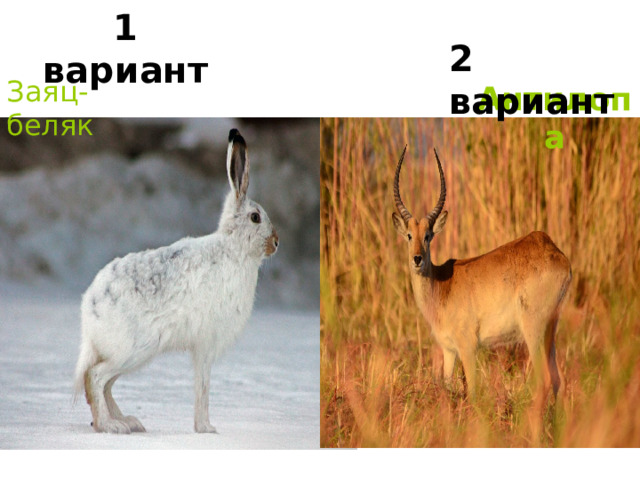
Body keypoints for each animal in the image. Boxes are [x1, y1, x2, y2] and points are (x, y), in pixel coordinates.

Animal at [73, 129, 279, 434]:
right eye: (255, 217)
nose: (276, 243)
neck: (234, 247)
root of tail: (89, 312)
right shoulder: (205, 344)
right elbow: (202, 388)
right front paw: (206, 429)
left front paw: (204, 428)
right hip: (134, 349)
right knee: (95, 378)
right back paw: (111, 426)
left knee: (103, 384)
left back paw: (127, 421)